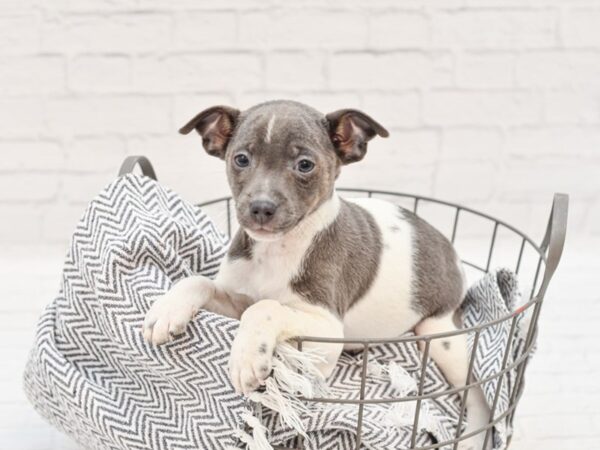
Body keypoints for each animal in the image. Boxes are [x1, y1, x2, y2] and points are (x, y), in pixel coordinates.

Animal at [143, 100, 490, 448]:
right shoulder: (237, 297)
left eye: (305, 165)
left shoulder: (325, 335)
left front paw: (247, 356)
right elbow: (200, 281)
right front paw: (167, 310)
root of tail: (452, 251)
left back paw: (474, 436)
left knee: (475, 393)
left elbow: (267, 307)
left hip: (441, 336)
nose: (261, 207)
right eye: (241, 159)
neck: (276, 251)